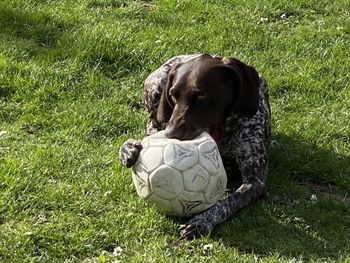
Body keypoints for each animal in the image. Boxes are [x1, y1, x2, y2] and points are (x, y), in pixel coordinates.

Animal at [120, 54, 270, 240]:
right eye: (173, 95)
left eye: (201, 96)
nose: (171, 133)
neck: (220, 131)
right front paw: (129, 148)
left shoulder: (255, 181)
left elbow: (227, 202)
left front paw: (202, 221)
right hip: (157, 87)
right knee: (151, 122)